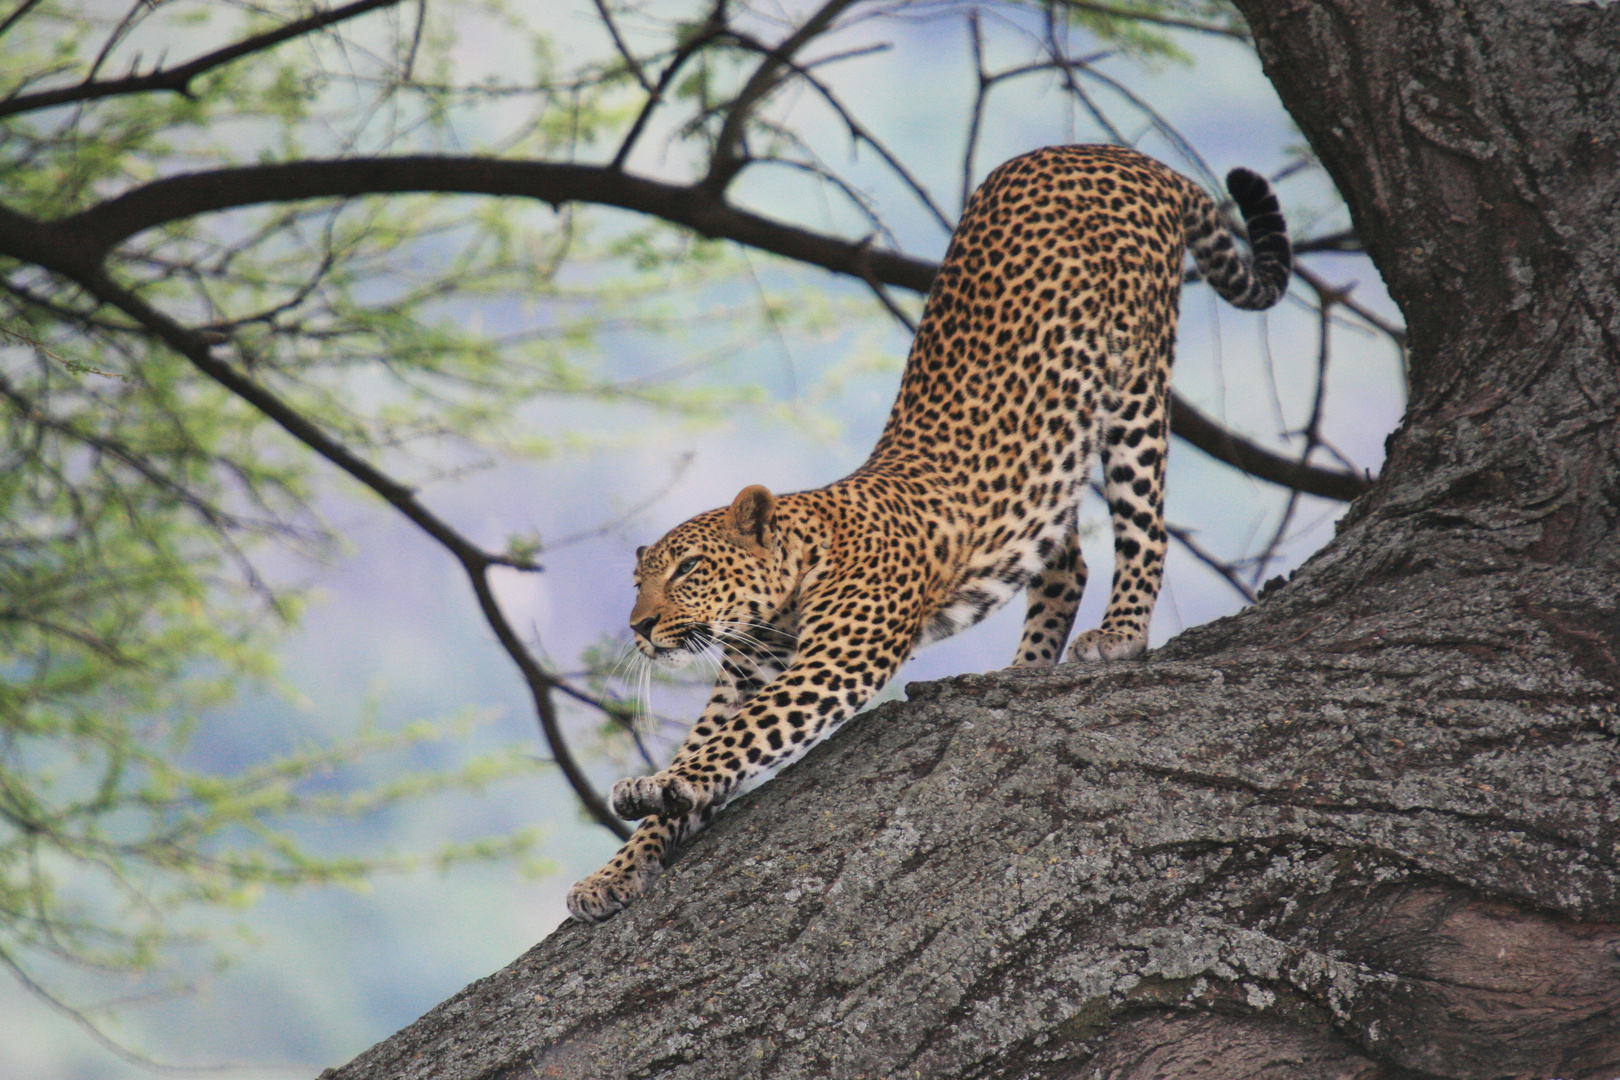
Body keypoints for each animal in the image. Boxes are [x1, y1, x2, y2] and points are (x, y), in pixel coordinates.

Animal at [570, 141, 1289, 919]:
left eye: (689, 570)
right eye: (638, 582)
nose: (639, 628)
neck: (781, 599)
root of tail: (1113, 152)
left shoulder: (832, 665)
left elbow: (740, 736)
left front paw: (654, 785)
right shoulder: (742, 677)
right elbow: (710, 747)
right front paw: (613, 871)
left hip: (1136, 387)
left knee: (1144, 525)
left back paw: (1119, 633)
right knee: (1065, 562)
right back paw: (1024, 668)